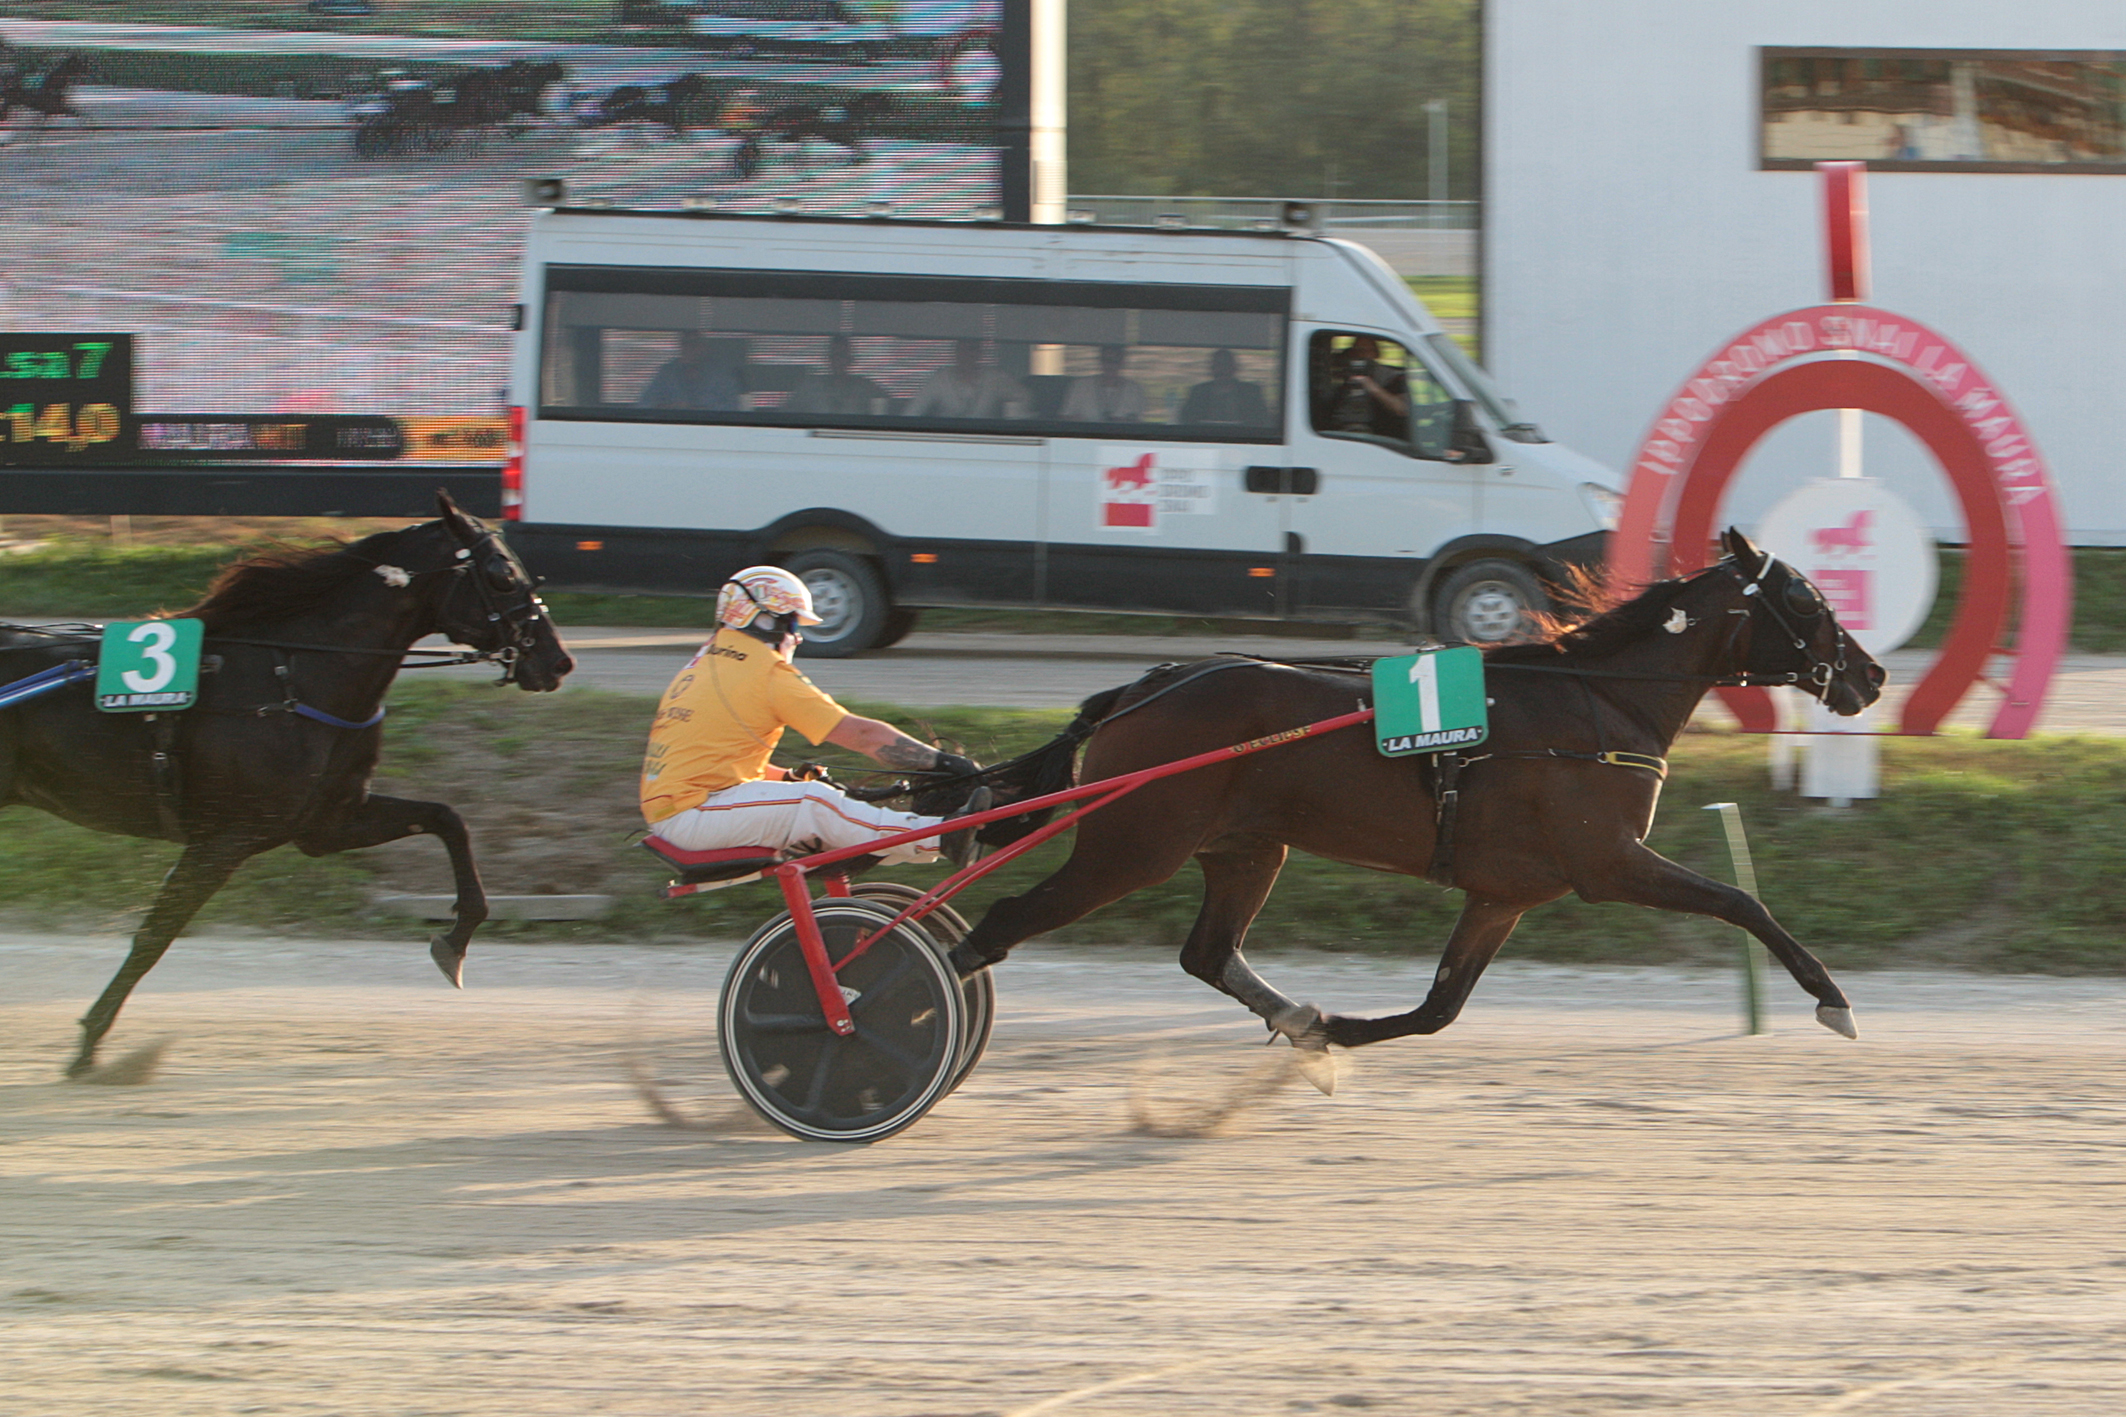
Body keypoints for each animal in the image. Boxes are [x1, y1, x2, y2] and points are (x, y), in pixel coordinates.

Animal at [0, 497, 574, 1074]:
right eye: (502, 575)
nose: (559, 661)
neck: (291, 677)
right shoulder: (224, 838)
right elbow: (155, 934)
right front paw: (90, 1044)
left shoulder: (325, 821)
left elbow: (446, 818)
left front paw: (455, 942)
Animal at [956, 531, 1887, 1087]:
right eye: (1804, 599)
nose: (1872, 674)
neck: (1595, 702)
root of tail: (1143, 689)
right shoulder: (1608, 861)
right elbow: (1742, 901)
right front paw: (1832, 997)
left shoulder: (1505, 892)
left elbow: (1439, 1008)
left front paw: (1329, 1029)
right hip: (1132, 845)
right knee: (996, 925)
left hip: (1246, 848)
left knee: (1207, 952)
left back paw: (1293, 1014)